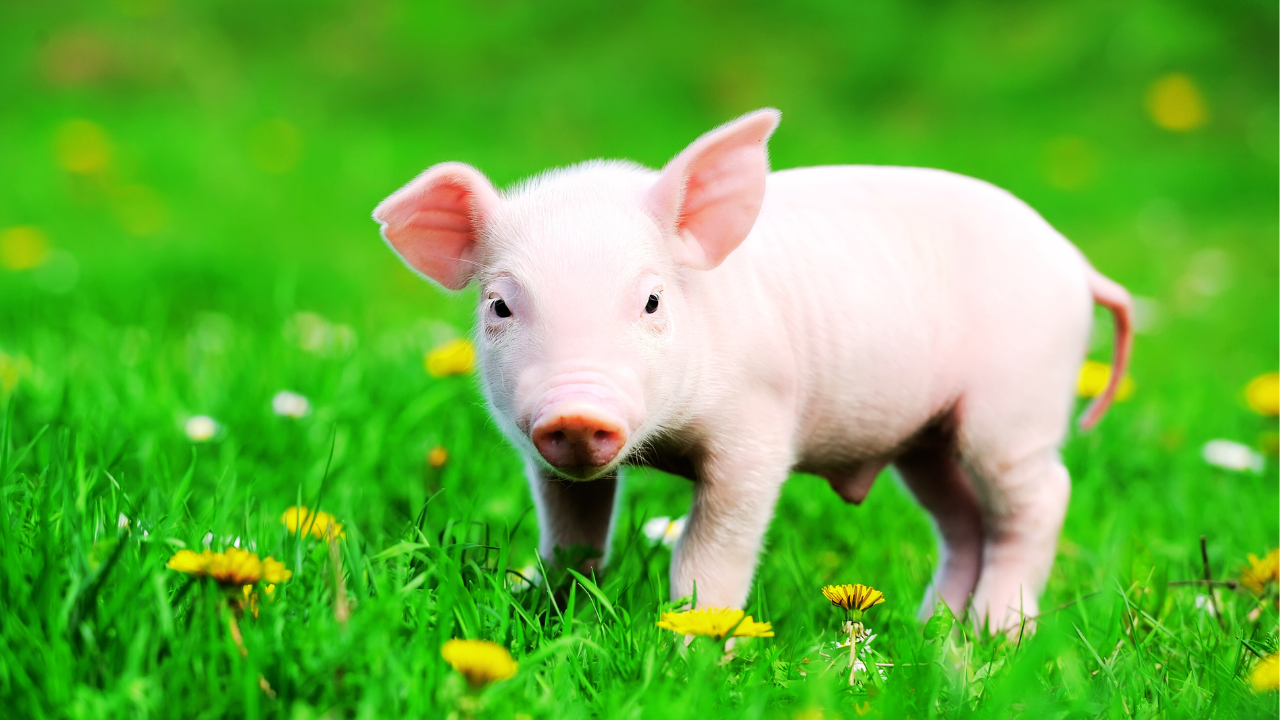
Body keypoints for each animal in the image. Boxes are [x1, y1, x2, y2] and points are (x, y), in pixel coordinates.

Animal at [372, 109, 1133, 631]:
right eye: (500, 304)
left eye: (652, 300)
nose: (577, 411)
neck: (664, 442)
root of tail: (1077, 264)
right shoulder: (547, 459)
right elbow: (572, 535)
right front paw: (535, 605)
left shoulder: (757, 432)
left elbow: (710, 553)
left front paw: (695, 646)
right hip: (926, 437)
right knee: (964, 521)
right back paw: (929, 633)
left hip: (1016, 406)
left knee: (1041, 498)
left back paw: (993, 634)